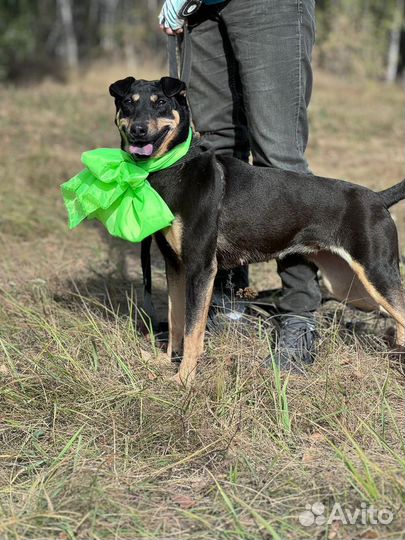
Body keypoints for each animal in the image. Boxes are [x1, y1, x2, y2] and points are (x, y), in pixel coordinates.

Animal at [108, 76, 404, 386]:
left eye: (162, 102)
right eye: (128, 102)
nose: (139, 130)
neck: (175, 167)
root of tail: (379, 198)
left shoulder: (201, 268)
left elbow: (192, 330)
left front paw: (183, 379)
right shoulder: (174, 265)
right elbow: (177, 320)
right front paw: (165, 362)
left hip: (376, 274)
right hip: (352, 288)